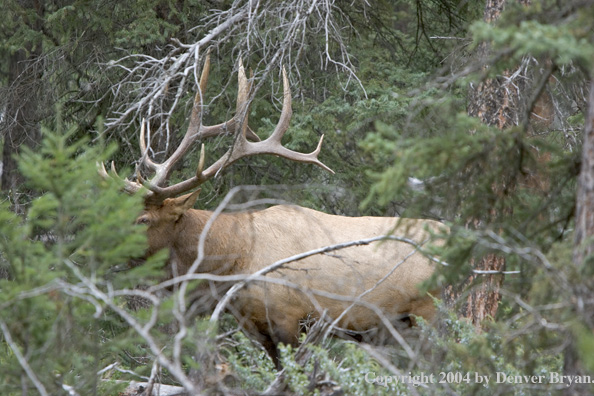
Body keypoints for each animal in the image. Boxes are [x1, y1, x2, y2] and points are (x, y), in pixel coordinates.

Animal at [102, 53, 444, 368]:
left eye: (143, 219)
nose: (101, 245)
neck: (234, 260)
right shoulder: (258, 329)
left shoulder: (290, 318)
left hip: (431, 313)